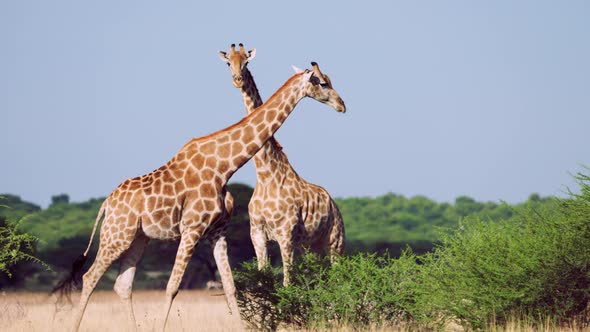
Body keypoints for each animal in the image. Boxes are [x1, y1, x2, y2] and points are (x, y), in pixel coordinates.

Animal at [221, 42, 346, 284]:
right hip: (310, 245)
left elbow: (287, 283)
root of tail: (334, 205)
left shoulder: (286, 234)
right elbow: (264, 279)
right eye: (228, 63)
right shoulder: (257, 234)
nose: (342, 105)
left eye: (247, 62)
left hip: (335, 242)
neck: (265, 174)